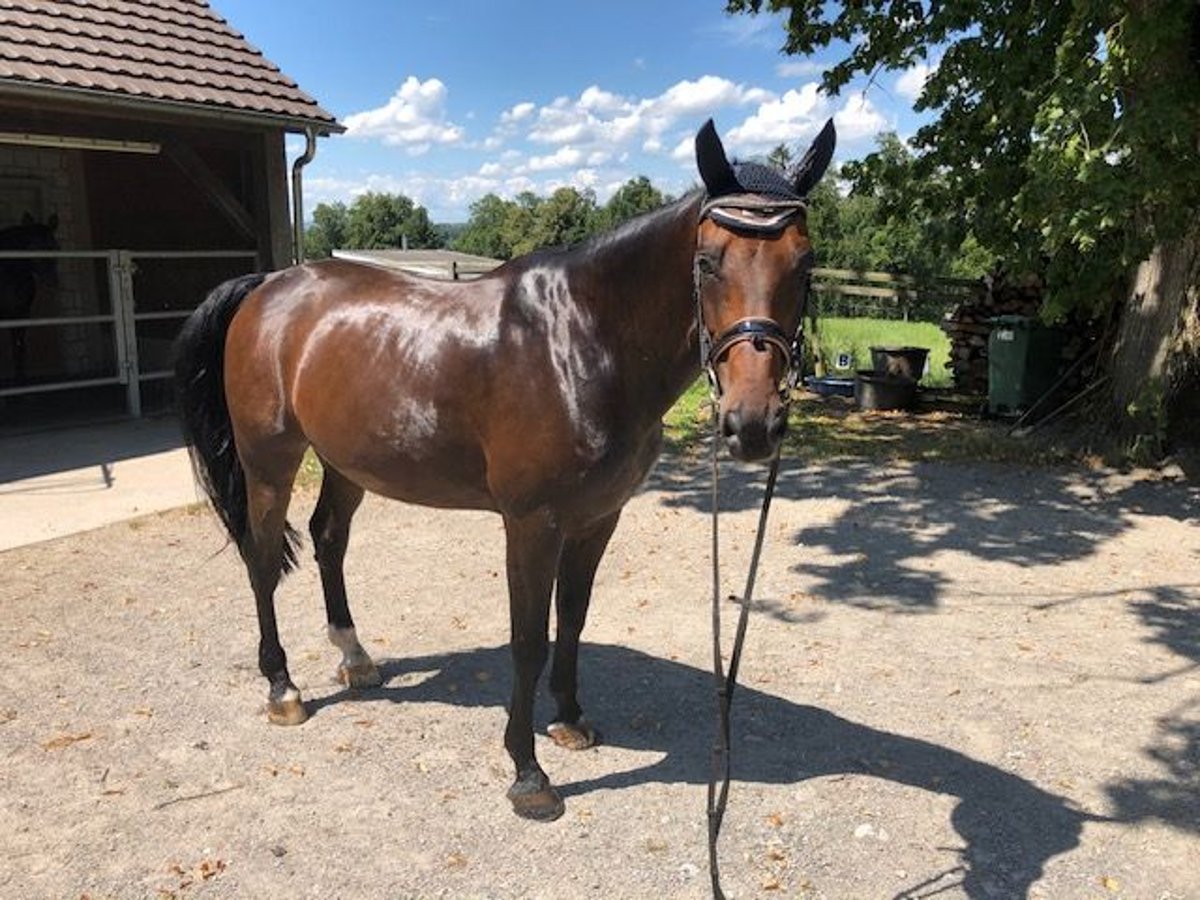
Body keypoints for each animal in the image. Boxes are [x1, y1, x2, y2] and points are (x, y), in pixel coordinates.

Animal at [0, 213, 58, 384]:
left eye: (56, 247)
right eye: (32, 247)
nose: (52, 281)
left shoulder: (20, 314)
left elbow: (19, 348)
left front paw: (21, 380)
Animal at [175, 120, 835, 825]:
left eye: (805, 264)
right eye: (709, 262)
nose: (753, 424)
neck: (579, 341)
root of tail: (267, 286)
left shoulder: (598, 518)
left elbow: (572, 616)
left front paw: (570, 720)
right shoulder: (532, 523)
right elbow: (528, 639)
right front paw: (528, 774)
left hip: (345, 462)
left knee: (328, 538)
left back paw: (355, 658)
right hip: (269, 461)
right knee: (262, 556)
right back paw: (282, 688)